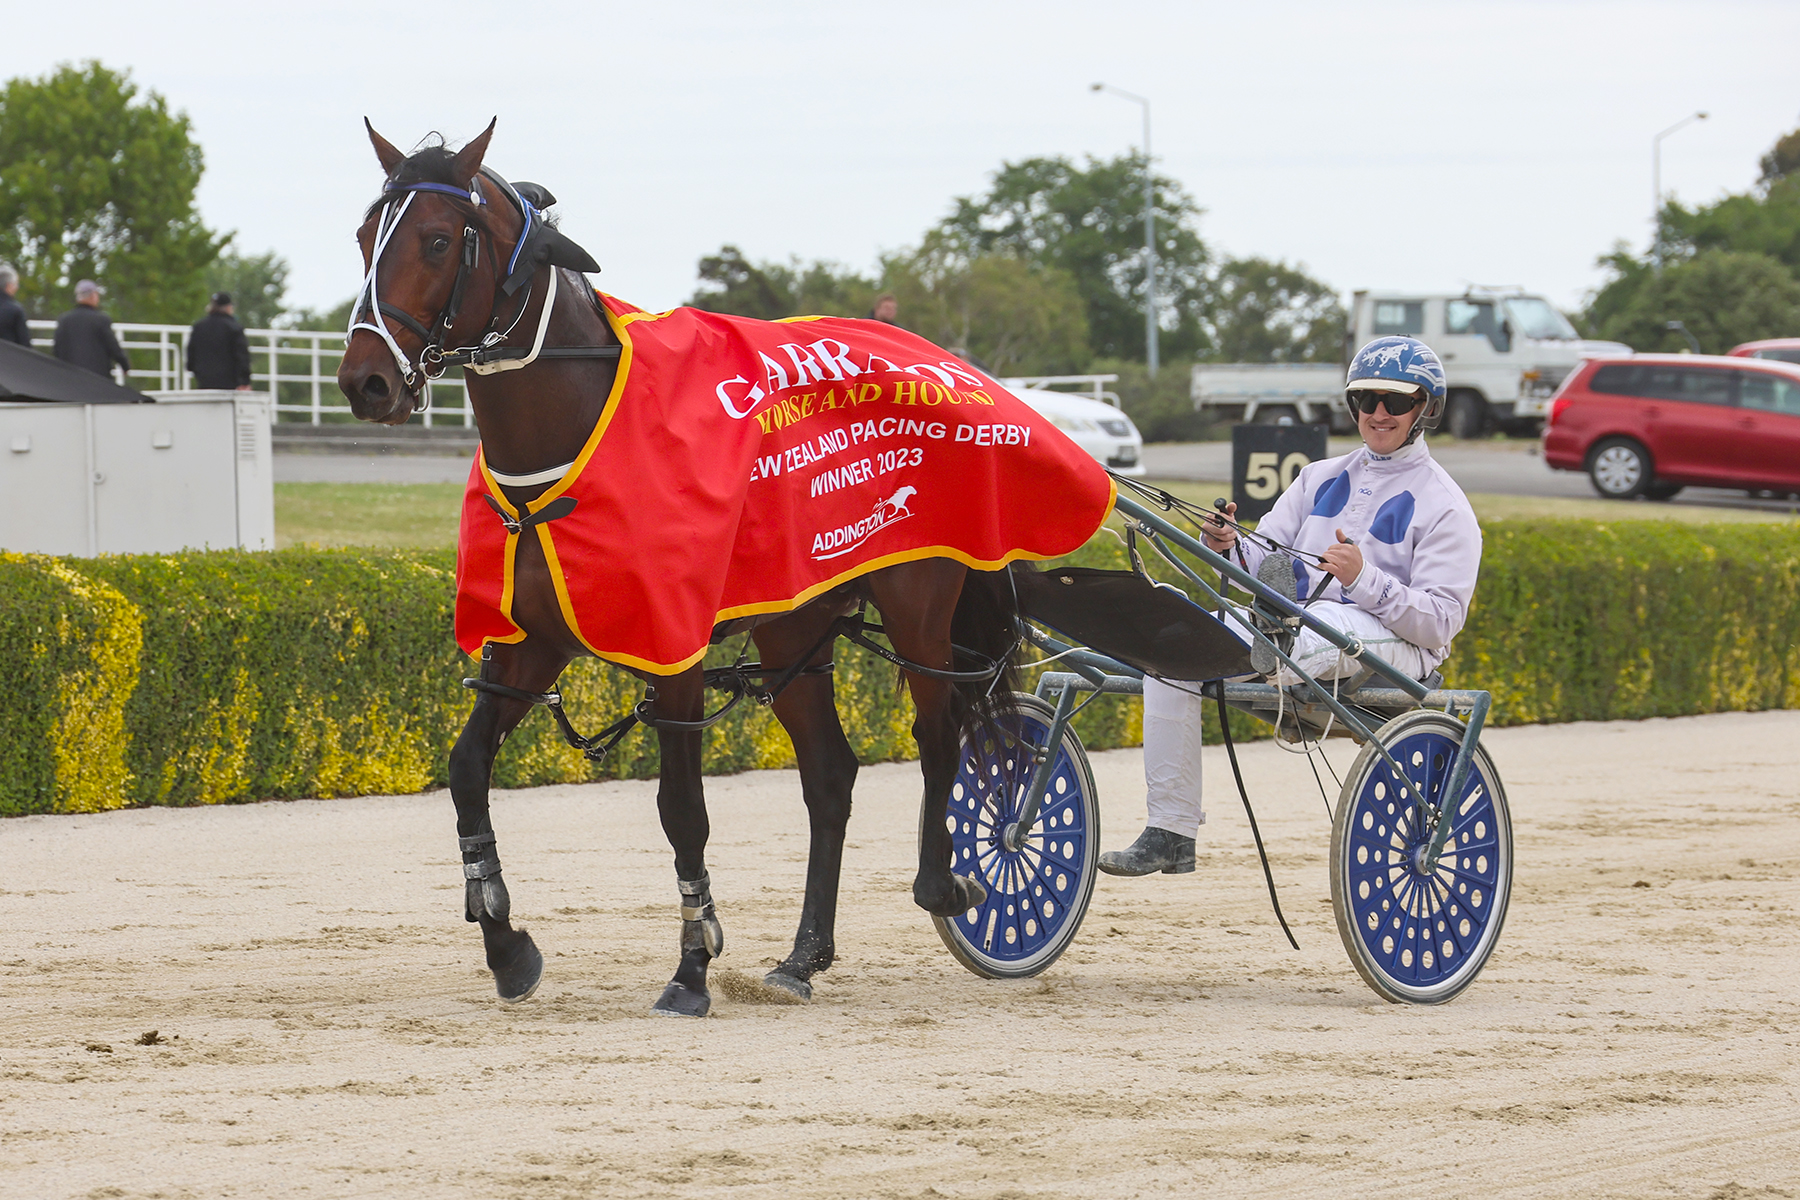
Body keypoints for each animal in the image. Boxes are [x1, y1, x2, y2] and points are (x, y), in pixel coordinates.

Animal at [335, 120, 1021, 1016]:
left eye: (439, 240)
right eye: (362, 240)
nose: (366, 380)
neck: (570, 442)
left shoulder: (676, 652)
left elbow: (681, 809)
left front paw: (692, 964)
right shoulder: (533, 642)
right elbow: (465, 770)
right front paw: (505, 941)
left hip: (919, 598)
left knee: (940, 731)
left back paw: (942, 883)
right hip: (795, 621)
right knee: (830, 774)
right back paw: (803, 955)